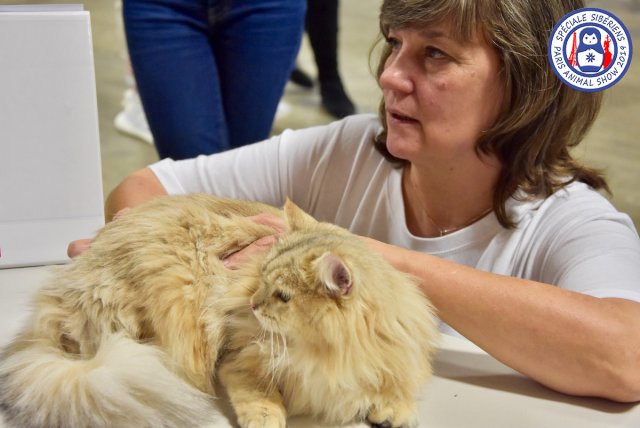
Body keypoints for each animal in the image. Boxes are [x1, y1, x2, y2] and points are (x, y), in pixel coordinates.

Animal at [0, 194, 439, 428]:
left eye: (282, 296)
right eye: (260, 277)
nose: (253, 303)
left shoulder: (391, 357)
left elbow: (394, 387)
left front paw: (394, 409)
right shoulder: (239, 357)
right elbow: (260, 396)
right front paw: (267, 418)